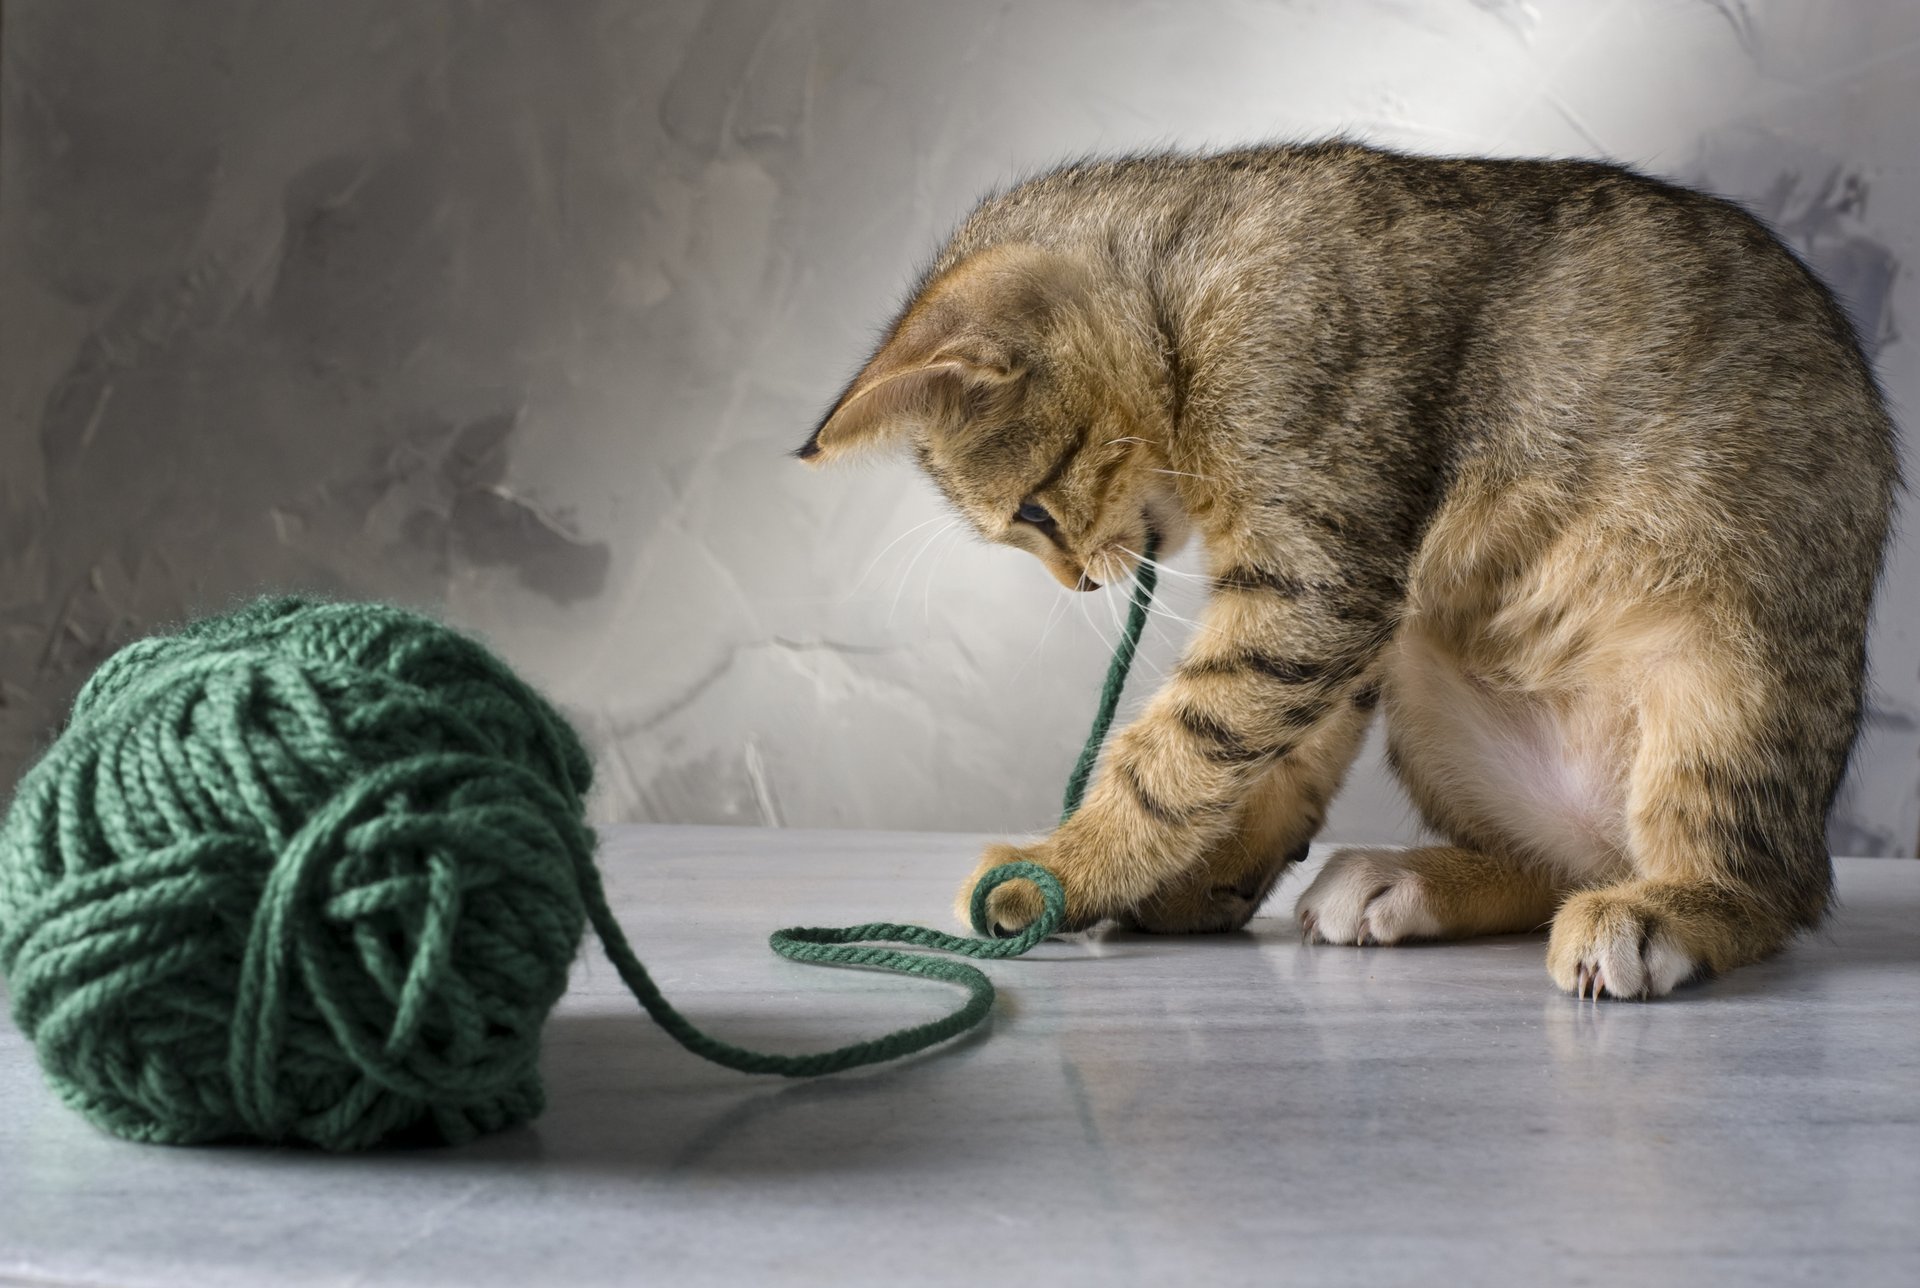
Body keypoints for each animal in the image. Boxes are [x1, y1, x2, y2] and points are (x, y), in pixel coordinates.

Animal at [791, 143, 1889, 1005]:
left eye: (1028, 511)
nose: (1080, 585)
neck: (1192, 302)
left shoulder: (1316, 568)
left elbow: (1184, 742)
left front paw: (1069, 865)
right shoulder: (1343, 598)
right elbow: (1269, 750)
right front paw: (1202, 873)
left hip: (1725, 667)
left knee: (1761, 885)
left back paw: (1656, 913)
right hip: (1432, 683)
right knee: (1556, 861)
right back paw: (1410, 882)